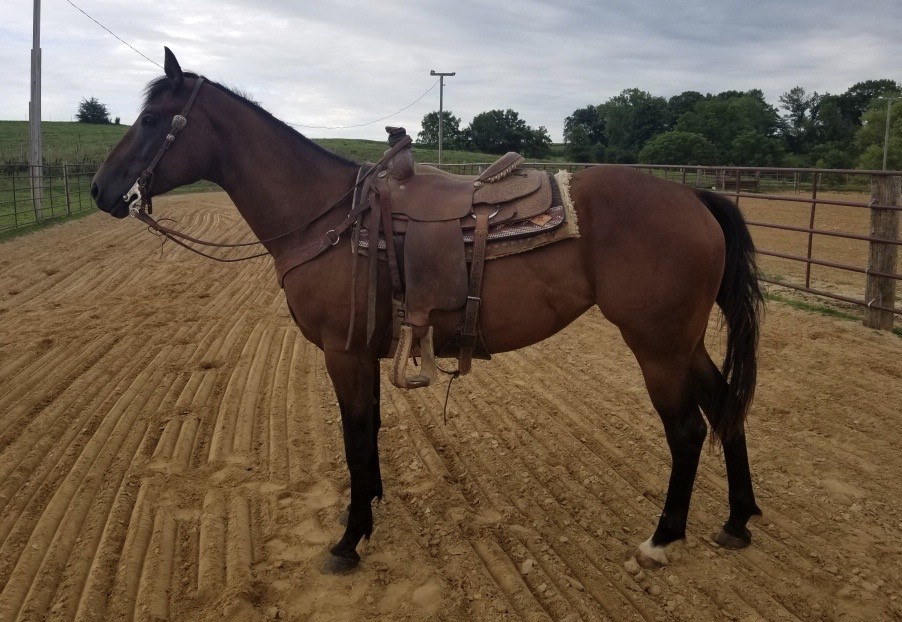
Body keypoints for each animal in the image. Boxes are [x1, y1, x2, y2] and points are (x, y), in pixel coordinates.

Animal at [91, 48, 764, 574]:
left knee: (689, 429)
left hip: (657, 346)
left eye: (150, 119)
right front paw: (369, 512)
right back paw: (737, 521)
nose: (101, 190)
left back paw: (660, 541)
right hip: (682, 343)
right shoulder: (365, 351)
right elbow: (369, 432)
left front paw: (348, 540)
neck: (329, 217)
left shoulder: (342, 352)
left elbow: (355, 436)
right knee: (725, 406)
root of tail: (696, 198)